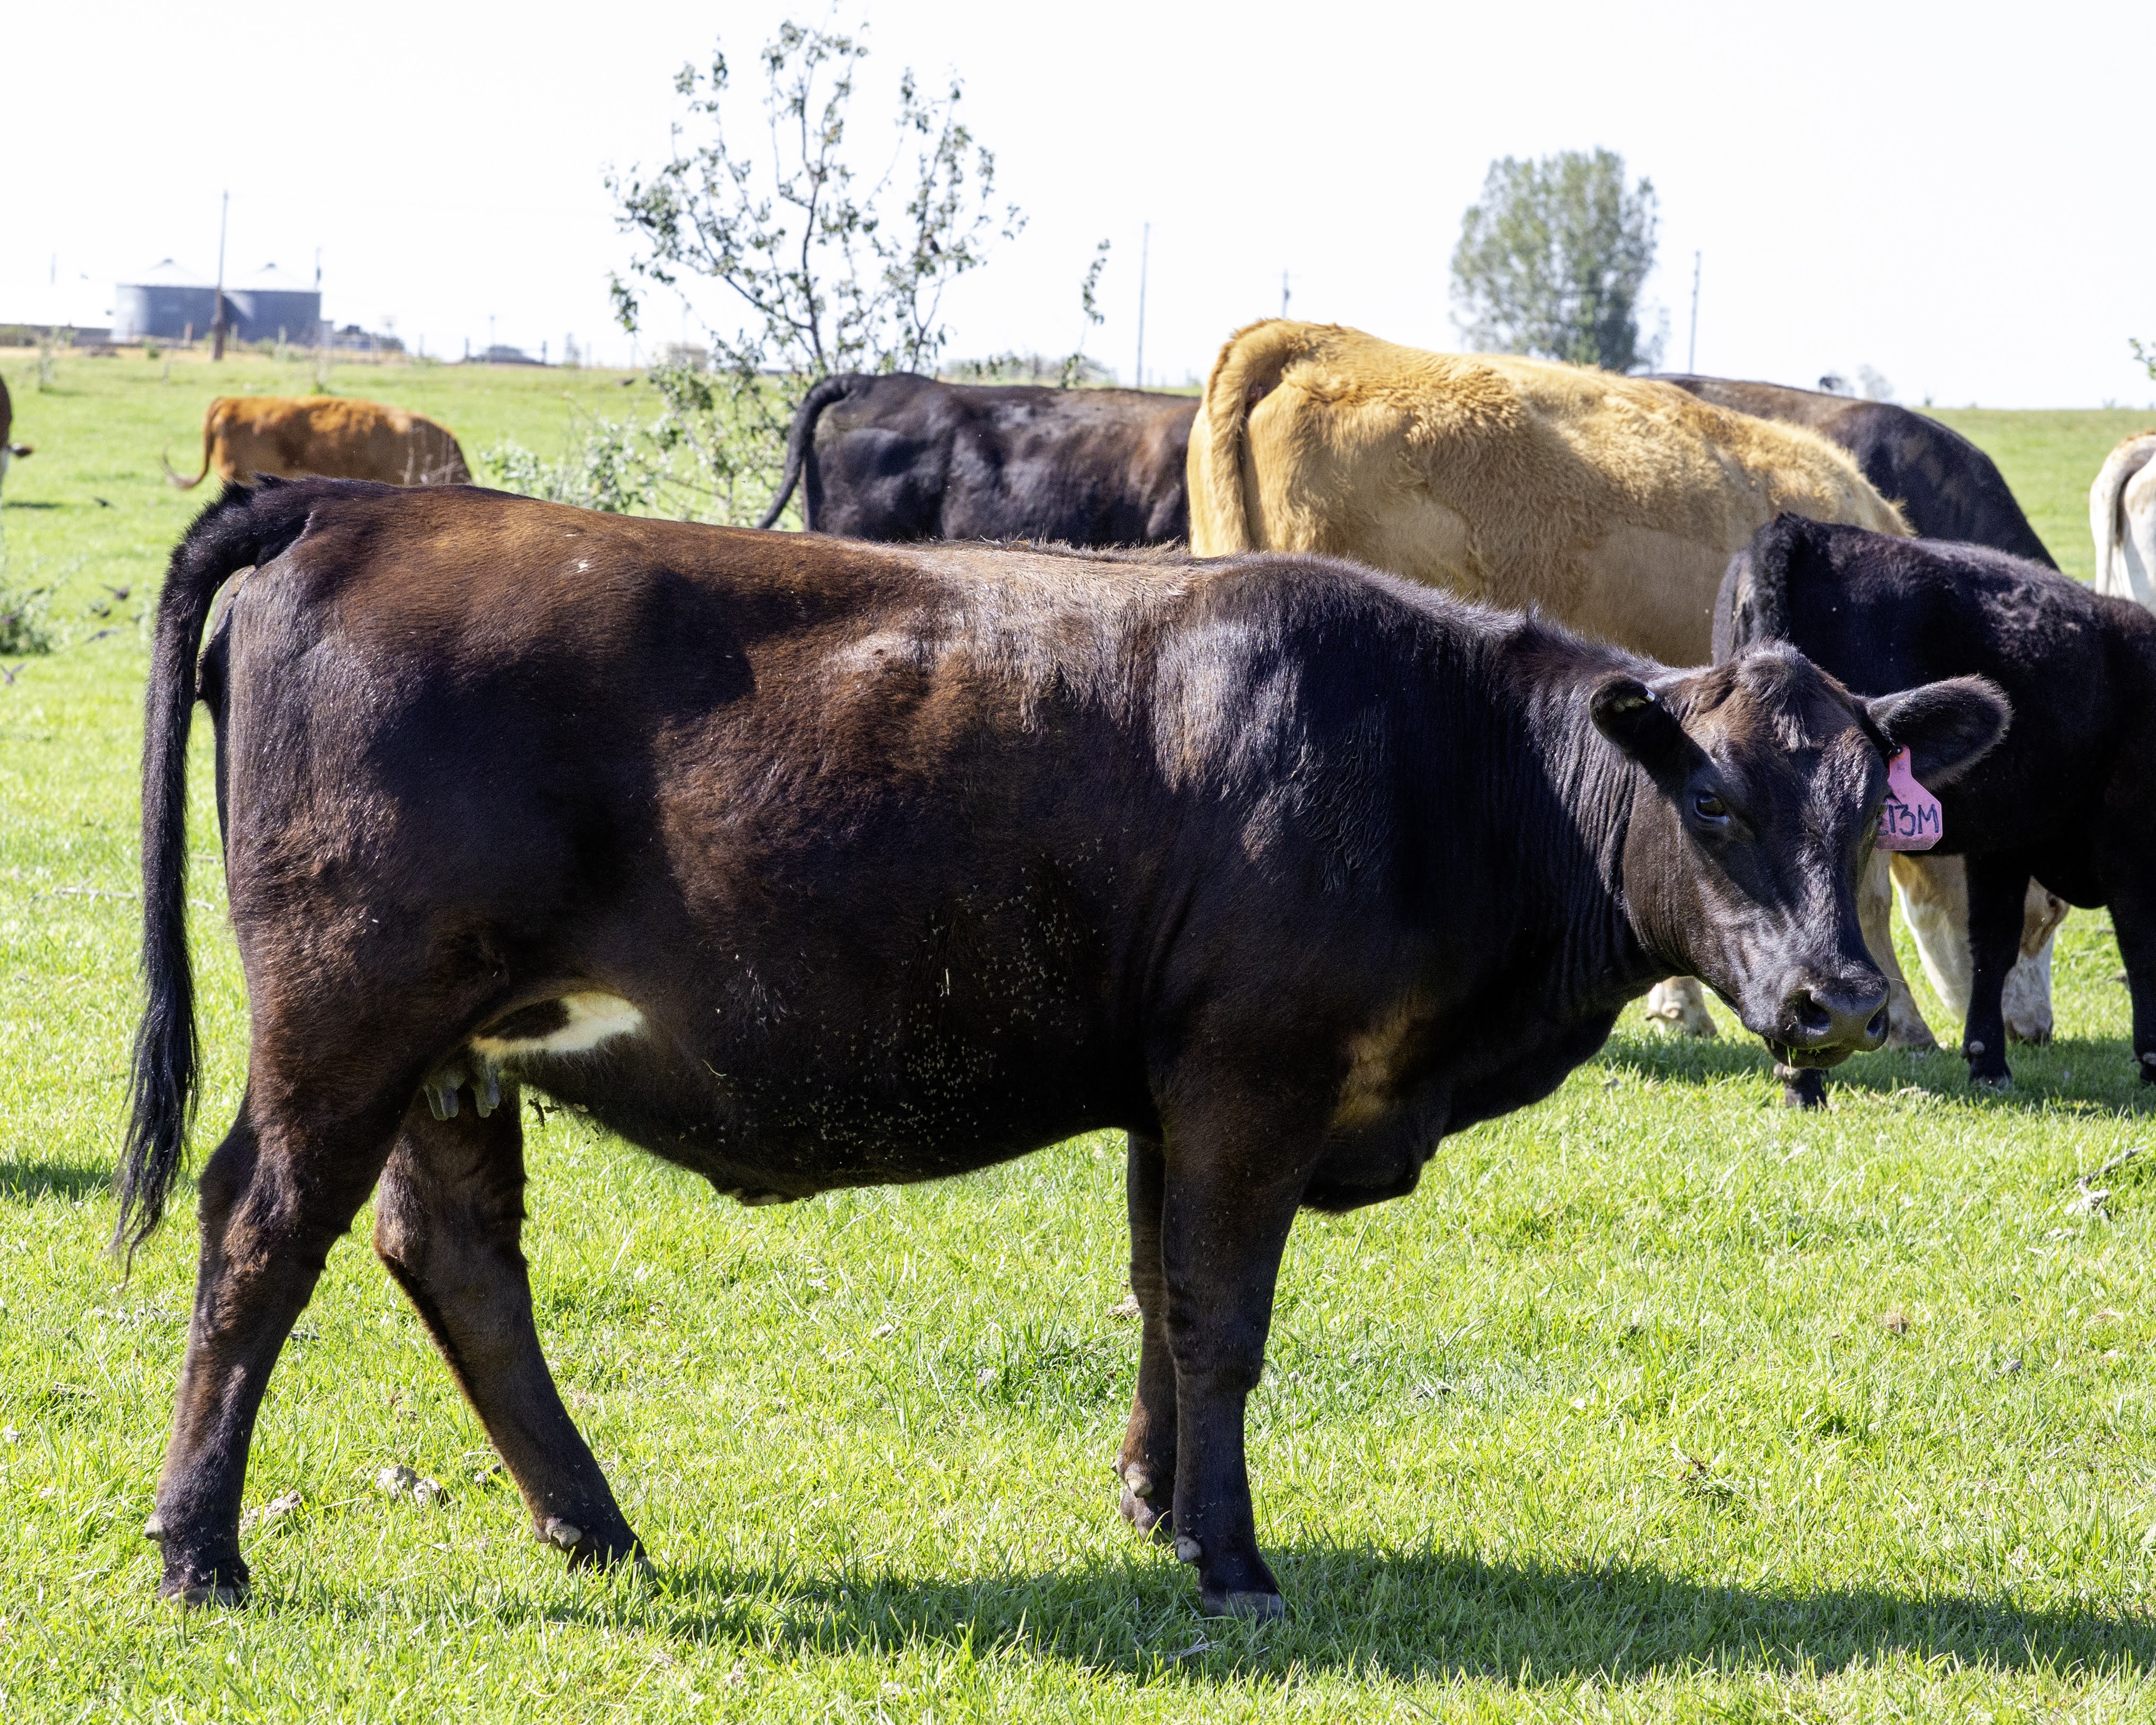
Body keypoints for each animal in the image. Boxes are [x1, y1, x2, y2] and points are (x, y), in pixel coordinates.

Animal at [121, 477, 2004, 1616]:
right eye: (1714, 802)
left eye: (1868, 809)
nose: (1840, 1003)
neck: (1446, 765)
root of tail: (368, 497)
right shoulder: (1252, 1079)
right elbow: (1222, 1321)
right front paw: (1231, 1562)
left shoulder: (1175, 1095)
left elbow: (1161, 1307)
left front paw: (1157, 1508)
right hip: (347, 1019)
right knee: (260, 1234)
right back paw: (199, 1549)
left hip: (457, 1051)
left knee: (453, 1255)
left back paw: (591, 1524)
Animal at [1716, 512, 2156, 1099]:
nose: (2037, 1033)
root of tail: (1799, 531)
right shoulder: (2127, 838)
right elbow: (2139, 941)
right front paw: (2152, 1057)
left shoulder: (2004, 844)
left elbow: (1992, 943)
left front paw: (1986, 1059)